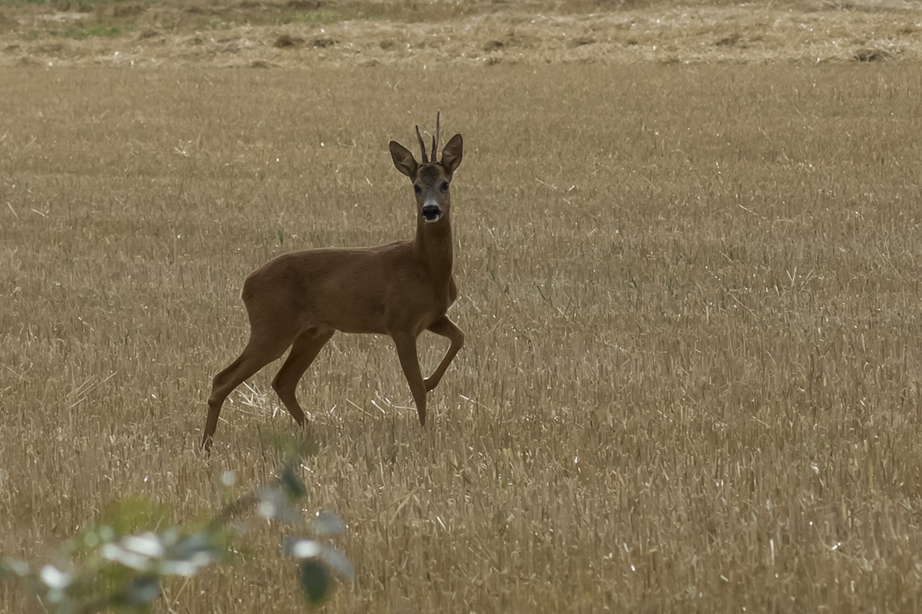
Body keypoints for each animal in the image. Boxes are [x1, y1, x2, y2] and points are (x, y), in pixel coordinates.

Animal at [200, 114, 460, 452]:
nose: (431, 210)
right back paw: (206, 446)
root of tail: (246, 285)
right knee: (224, 379)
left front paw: (432, 383)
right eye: (416, 187)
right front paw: (423, 433)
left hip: (315, 332)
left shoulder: (434, 317)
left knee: (282, 381)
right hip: (272, 328)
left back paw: (312, 433)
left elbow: (459, 339)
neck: (423, 268)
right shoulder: (400, 323)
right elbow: (414, 385)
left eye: (445, 183)